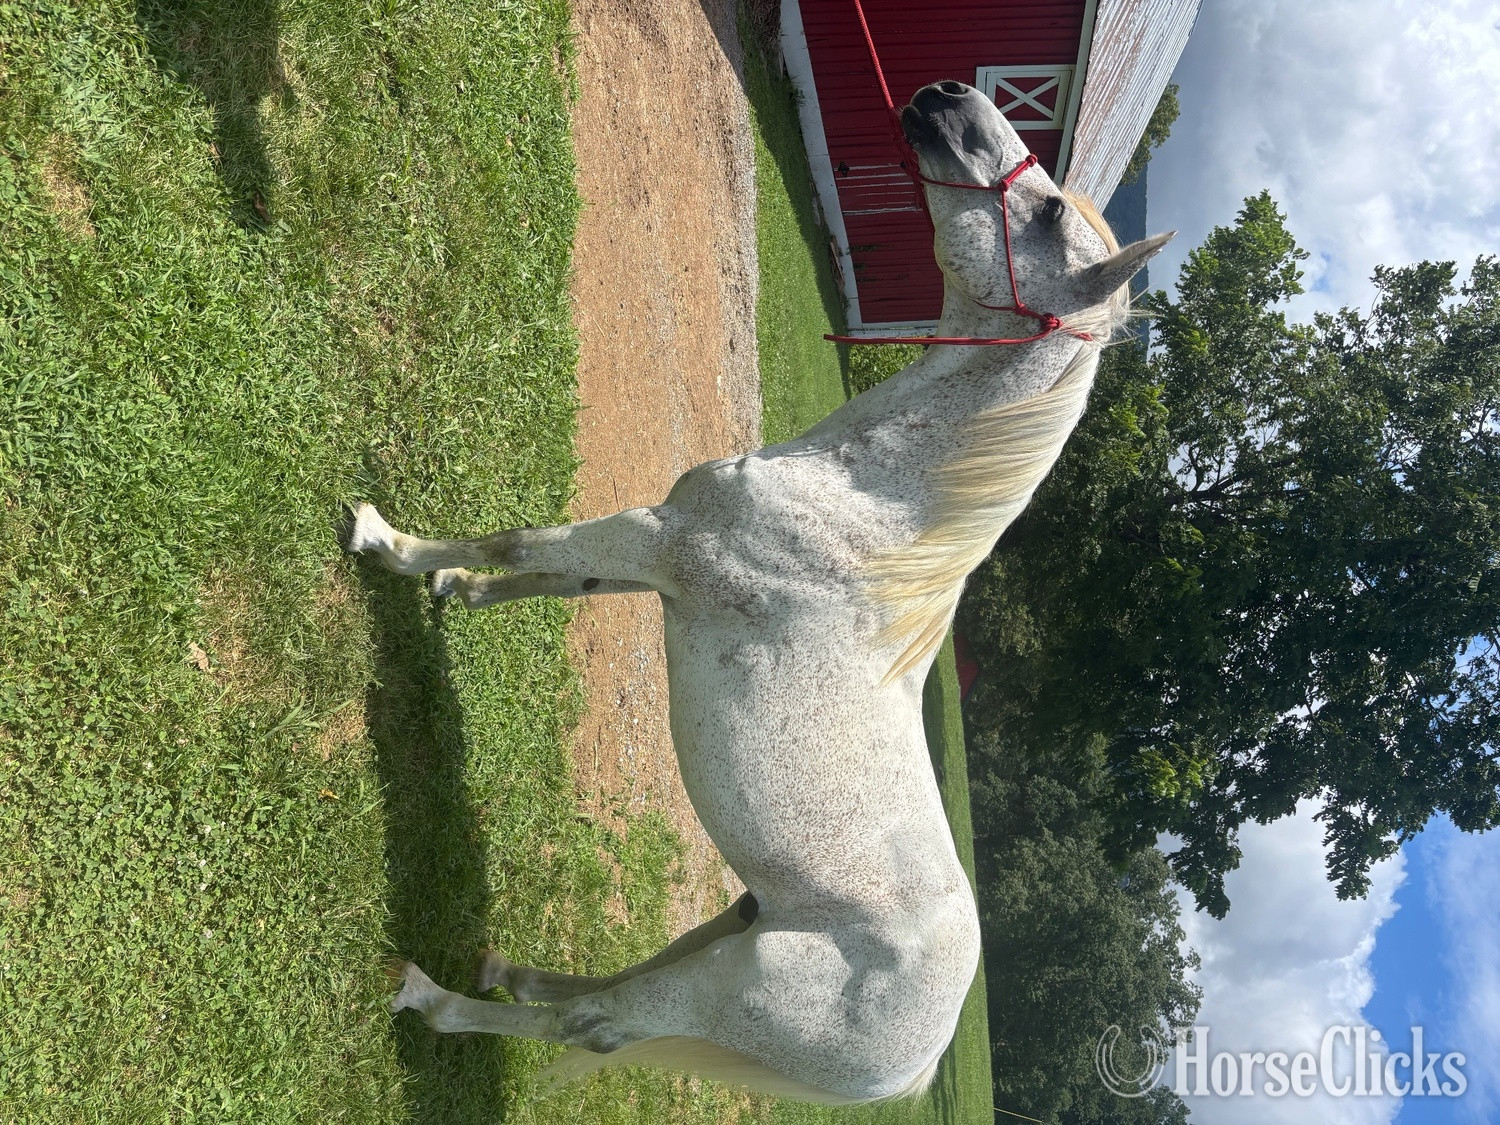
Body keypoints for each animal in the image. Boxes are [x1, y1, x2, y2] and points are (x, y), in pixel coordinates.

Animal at [346, 79, 1171, 1104]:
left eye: (1050, 213)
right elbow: (554, 576)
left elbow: (523, 540)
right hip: (739, 924)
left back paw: (429, 993)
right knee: (613, 995)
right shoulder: (658, 556)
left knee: (593, 1024)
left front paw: (387, 545)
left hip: (734, 982)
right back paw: (505, 967)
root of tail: (911, 1061)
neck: (862, 509)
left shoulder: (658, 538)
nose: (949, 95)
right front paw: (454, 587)